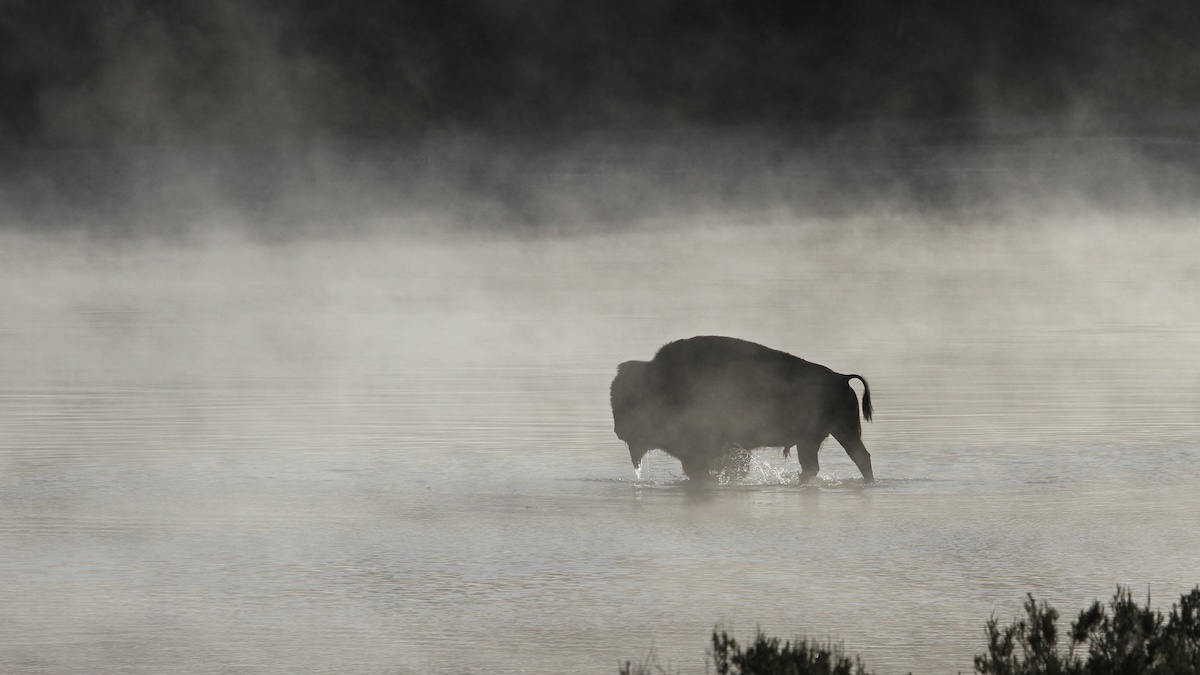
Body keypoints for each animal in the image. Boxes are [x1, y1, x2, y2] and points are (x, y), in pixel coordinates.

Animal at [609, 336, 873, 482]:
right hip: (829, 436)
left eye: (630, 401)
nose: (619, 431)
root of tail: (840, 379)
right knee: (851, 460)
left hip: (827, 436)